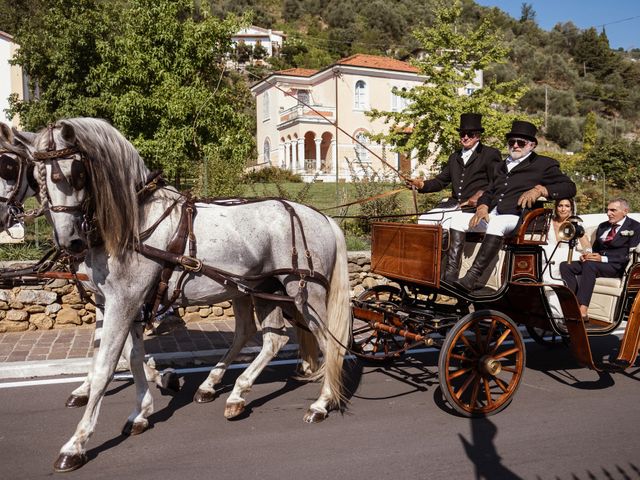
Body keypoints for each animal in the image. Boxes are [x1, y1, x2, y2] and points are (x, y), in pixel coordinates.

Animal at [21, 118, 350, 470]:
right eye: (38, 178)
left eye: (74, 174)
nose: (70, 241)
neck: (136, 220)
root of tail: (321, 216)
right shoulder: (126, 303)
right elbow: (132, 356)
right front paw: (141, 411)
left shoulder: (123, 301)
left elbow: (105, 367)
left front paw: (77, 442)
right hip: (261, 289)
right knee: (269, 338)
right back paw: (232, 391)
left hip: (304, 292)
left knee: (330, 343)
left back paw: (321, 403)